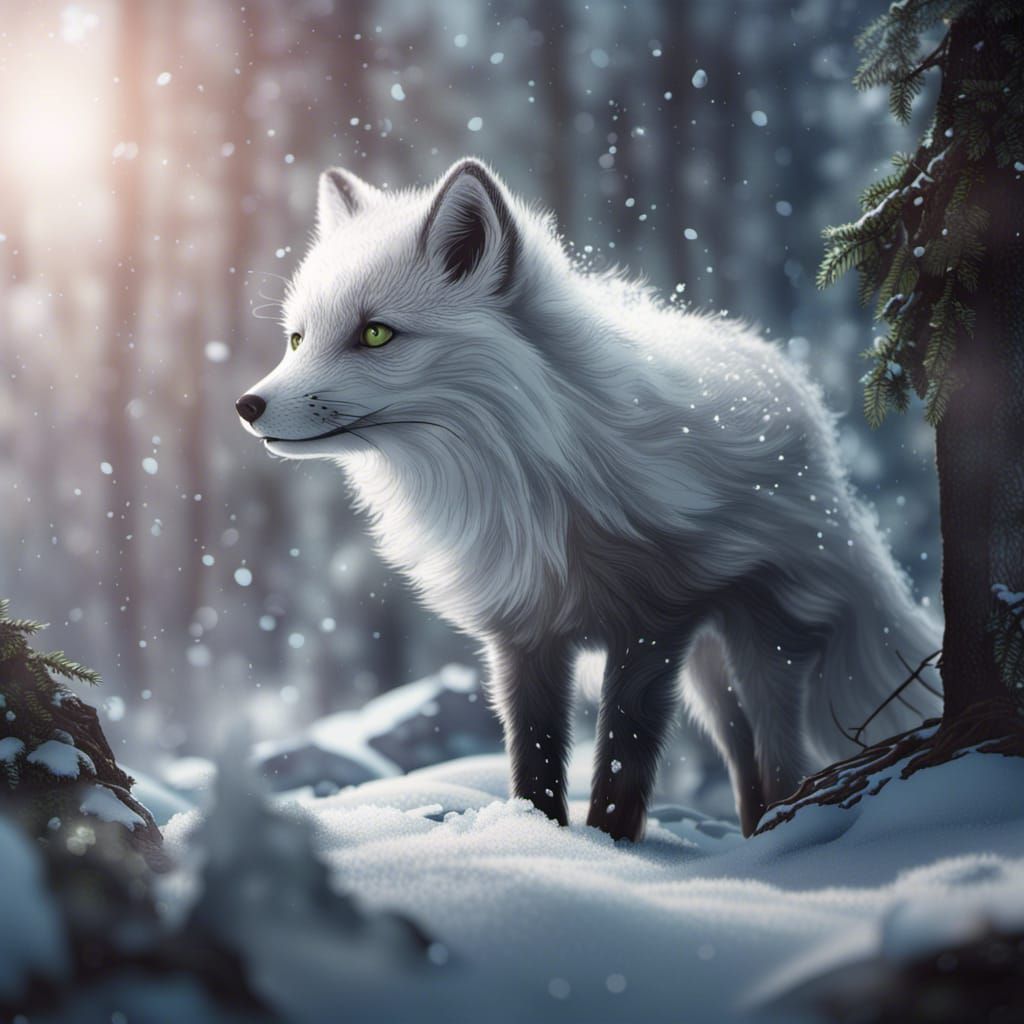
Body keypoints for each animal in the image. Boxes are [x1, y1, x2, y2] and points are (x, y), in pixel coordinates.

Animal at [237, 157, 941, 840]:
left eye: (376, 334)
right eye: (297, 339)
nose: (248, 406)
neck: (527, 484)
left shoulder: (652, 628)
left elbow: (622, 765)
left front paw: (611, 848)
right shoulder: (524, 634)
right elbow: (534, 761)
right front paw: (542, 839)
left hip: (758, 645)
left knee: (780, 763)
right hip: (709, 677)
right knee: (746, 765)